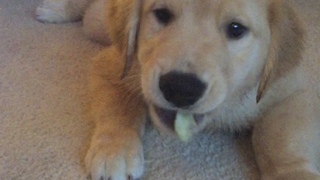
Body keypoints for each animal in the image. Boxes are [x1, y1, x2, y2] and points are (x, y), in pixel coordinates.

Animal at [36, 0, 320, 179]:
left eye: (236, 29)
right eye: (162, 14)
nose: (180, 88)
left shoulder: (290, 92)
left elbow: (281, 140)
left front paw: (295, 172)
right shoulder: (115, 66)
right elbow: (118, 110)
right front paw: (114, 150)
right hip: (97, 23)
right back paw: (55, 10)